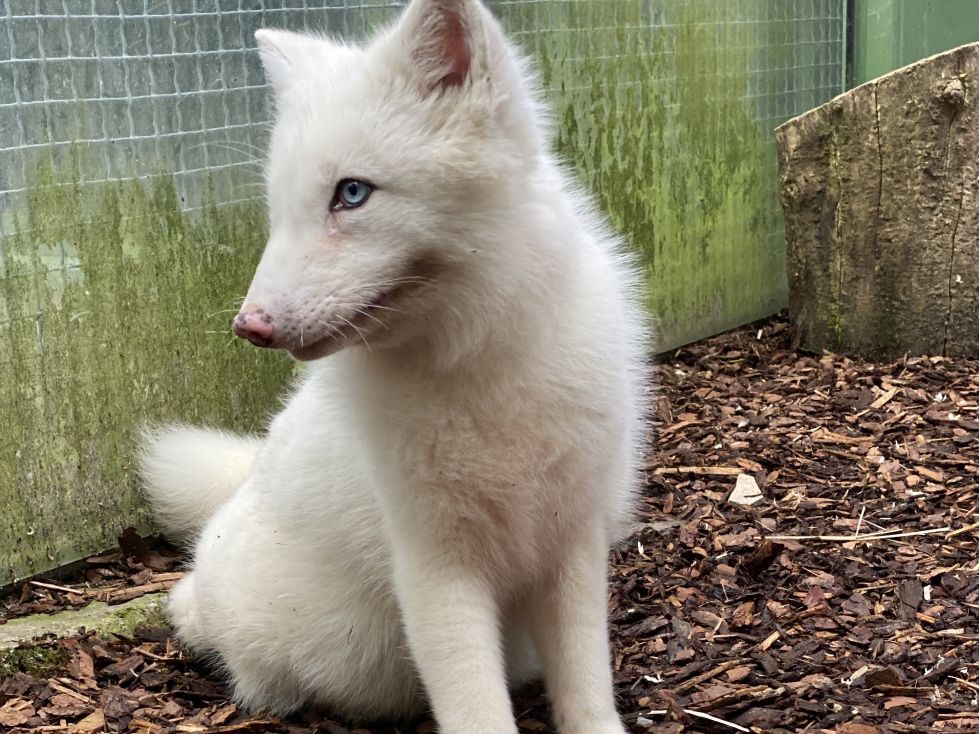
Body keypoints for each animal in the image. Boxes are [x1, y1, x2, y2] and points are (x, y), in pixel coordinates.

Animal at [142, 1, 652, 734]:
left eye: (351, 193)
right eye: (277, 211)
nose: (249, 326)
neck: (478, 367)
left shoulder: (571, 546)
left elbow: (586, 687)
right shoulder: (434, 566)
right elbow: (475, 708)